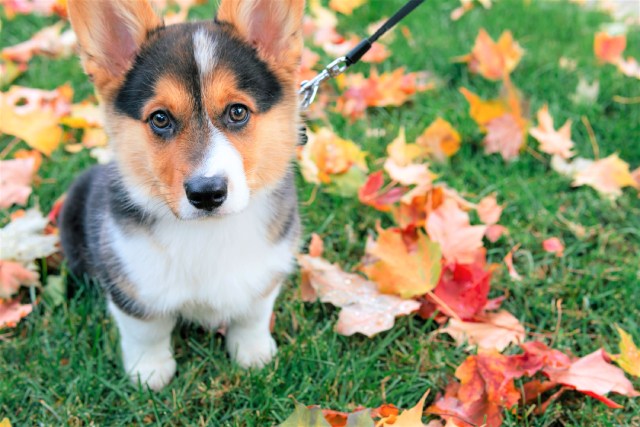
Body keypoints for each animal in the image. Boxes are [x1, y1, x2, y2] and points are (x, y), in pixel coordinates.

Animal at [58, 0, 304, 392]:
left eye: (237, 111)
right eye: (160, 119)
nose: (207, 193)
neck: (207, 232)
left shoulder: (266, 273)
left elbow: (252, 315)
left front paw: (254, 355)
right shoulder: (132, 286)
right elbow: (146, 331)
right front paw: (148, 373)